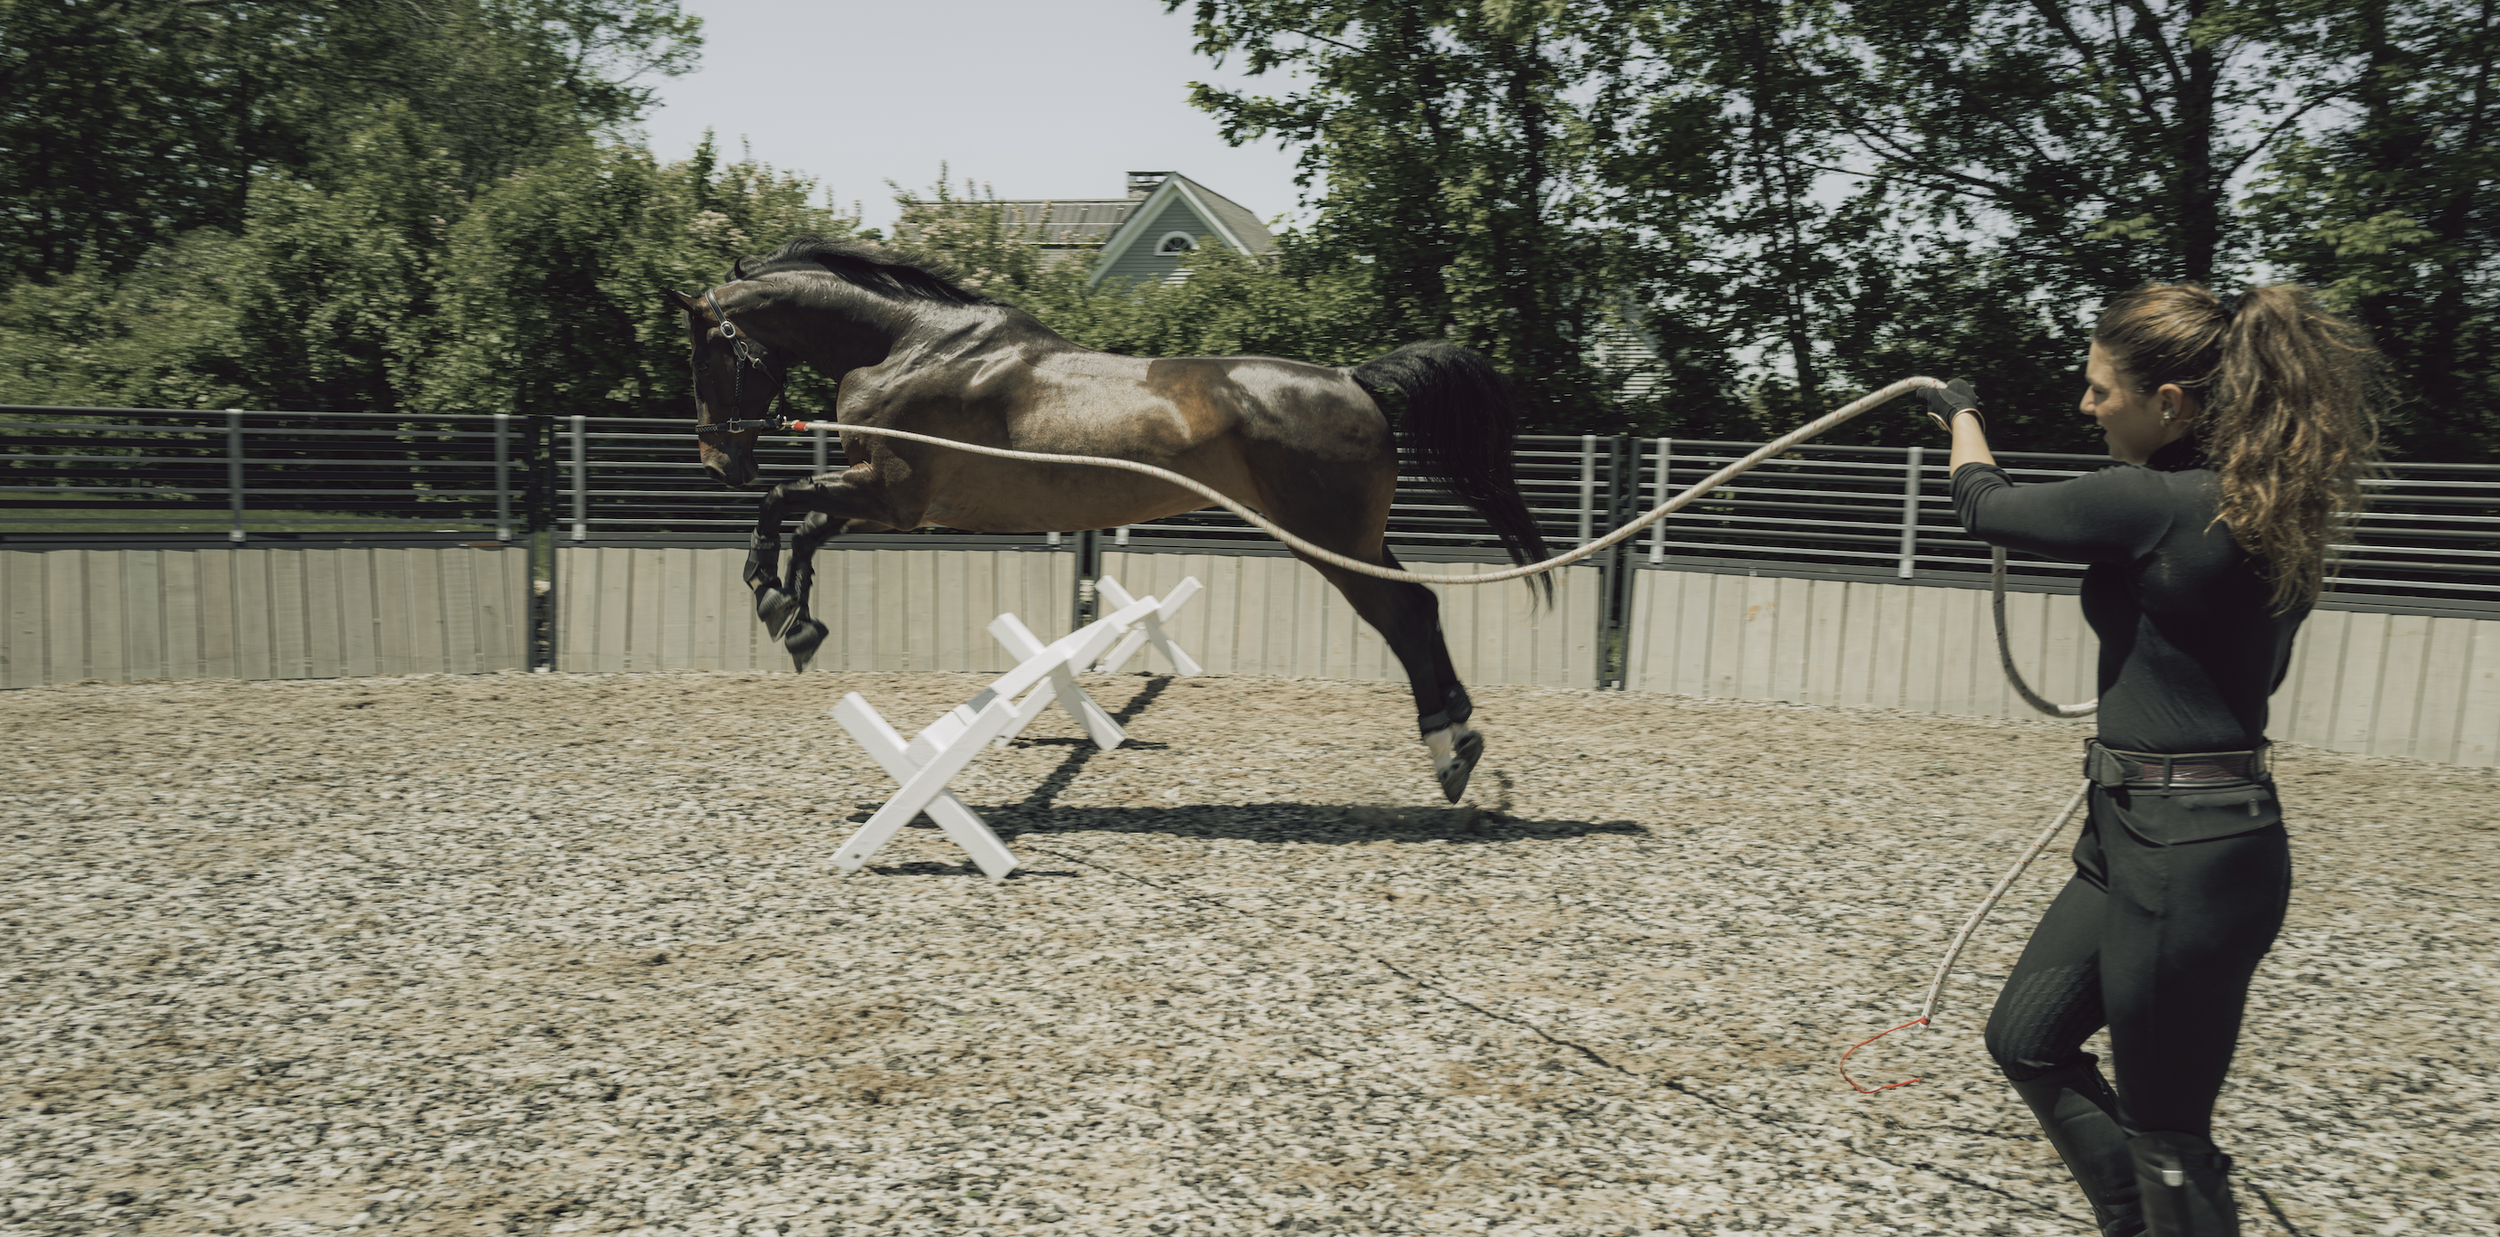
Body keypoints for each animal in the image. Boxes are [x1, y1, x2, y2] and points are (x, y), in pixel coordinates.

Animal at [667, 236, 1551, 802]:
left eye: (703, 352)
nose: (718, 461)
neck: (909, 348)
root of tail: (1355, 377)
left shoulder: (890, 492)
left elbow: (782, 508)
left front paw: (773, 600)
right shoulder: (889, 504)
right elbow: (807, 528)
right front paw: (799, 623)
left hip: (1329, 542)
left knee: (1404, 613)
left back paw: (1447, 748)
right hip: (1355, 539)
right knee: (1421, 608)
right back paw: (1459, 740)